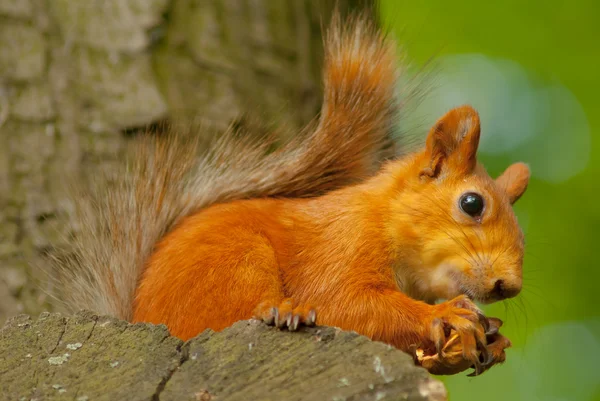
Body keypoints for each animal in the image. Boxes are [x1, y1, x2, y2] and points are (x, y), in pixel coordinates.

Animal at [51, 12, 528, 376]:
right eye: (472, 204)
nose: (509, 285)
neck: (384, 218)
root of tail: (138, 317)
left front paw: (488, 340)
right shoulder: (339, 246)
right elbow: (344, 304)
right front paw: (443, 315)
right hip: (235, 263)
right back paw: (285, 311)